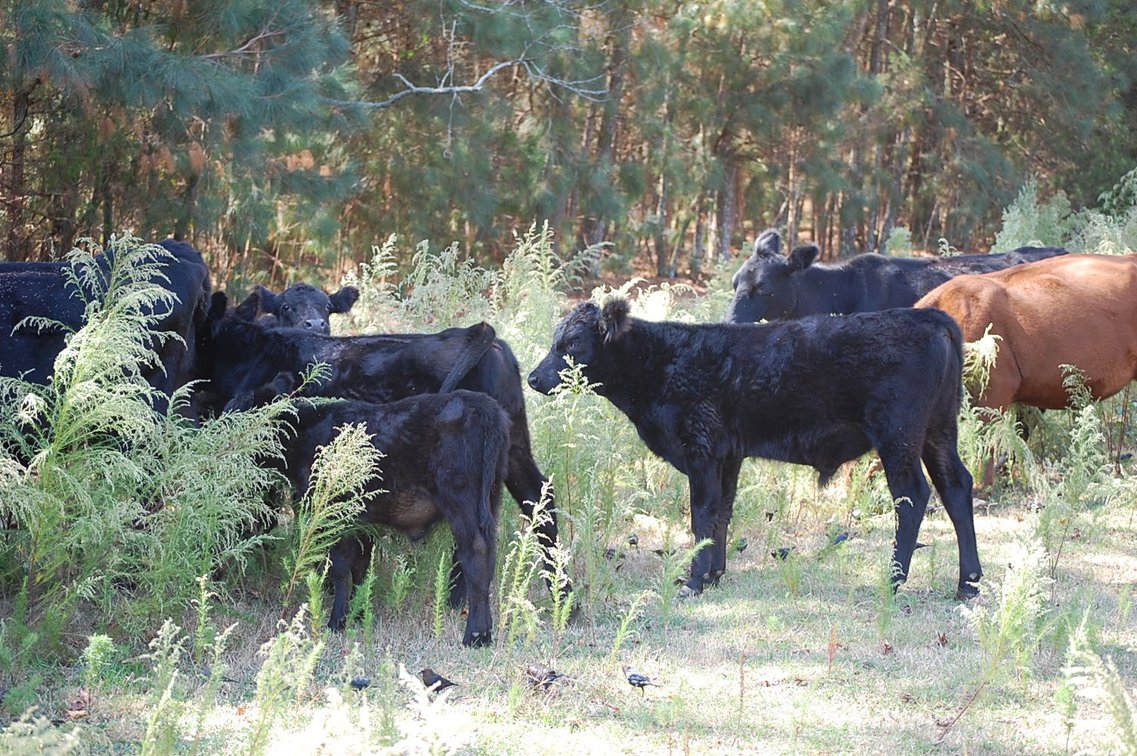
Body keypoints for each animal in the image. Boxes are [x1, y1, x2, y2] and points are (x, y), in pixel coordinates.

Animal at [274, 391, 509, 645]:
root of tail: (484, 406)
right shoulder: (361, 523)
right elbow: (360, 565)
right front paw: (359, 613)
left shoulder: (337, 513)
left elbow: (341, 567)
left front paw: (338, 621)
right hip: (491, 499)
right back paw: (485, 632)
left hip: (461, 500)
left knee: (476, 555)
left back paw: (474, 635)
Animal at [528, 297, 981, 599]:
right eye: (555, 340)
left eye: (572, 344)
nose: (533, 378)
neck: (663, 361)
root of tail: (928, 317)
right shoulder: (728, 455)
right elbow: (722, 514)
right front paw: (714, 575)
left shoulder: (702, 450)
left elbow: (701, 514)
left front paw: (693, 582)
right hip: (939, 432)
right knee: (957, 487)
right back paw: (968, 584)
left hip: (898, 436)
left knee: (913, 496)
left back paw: (894, 580)